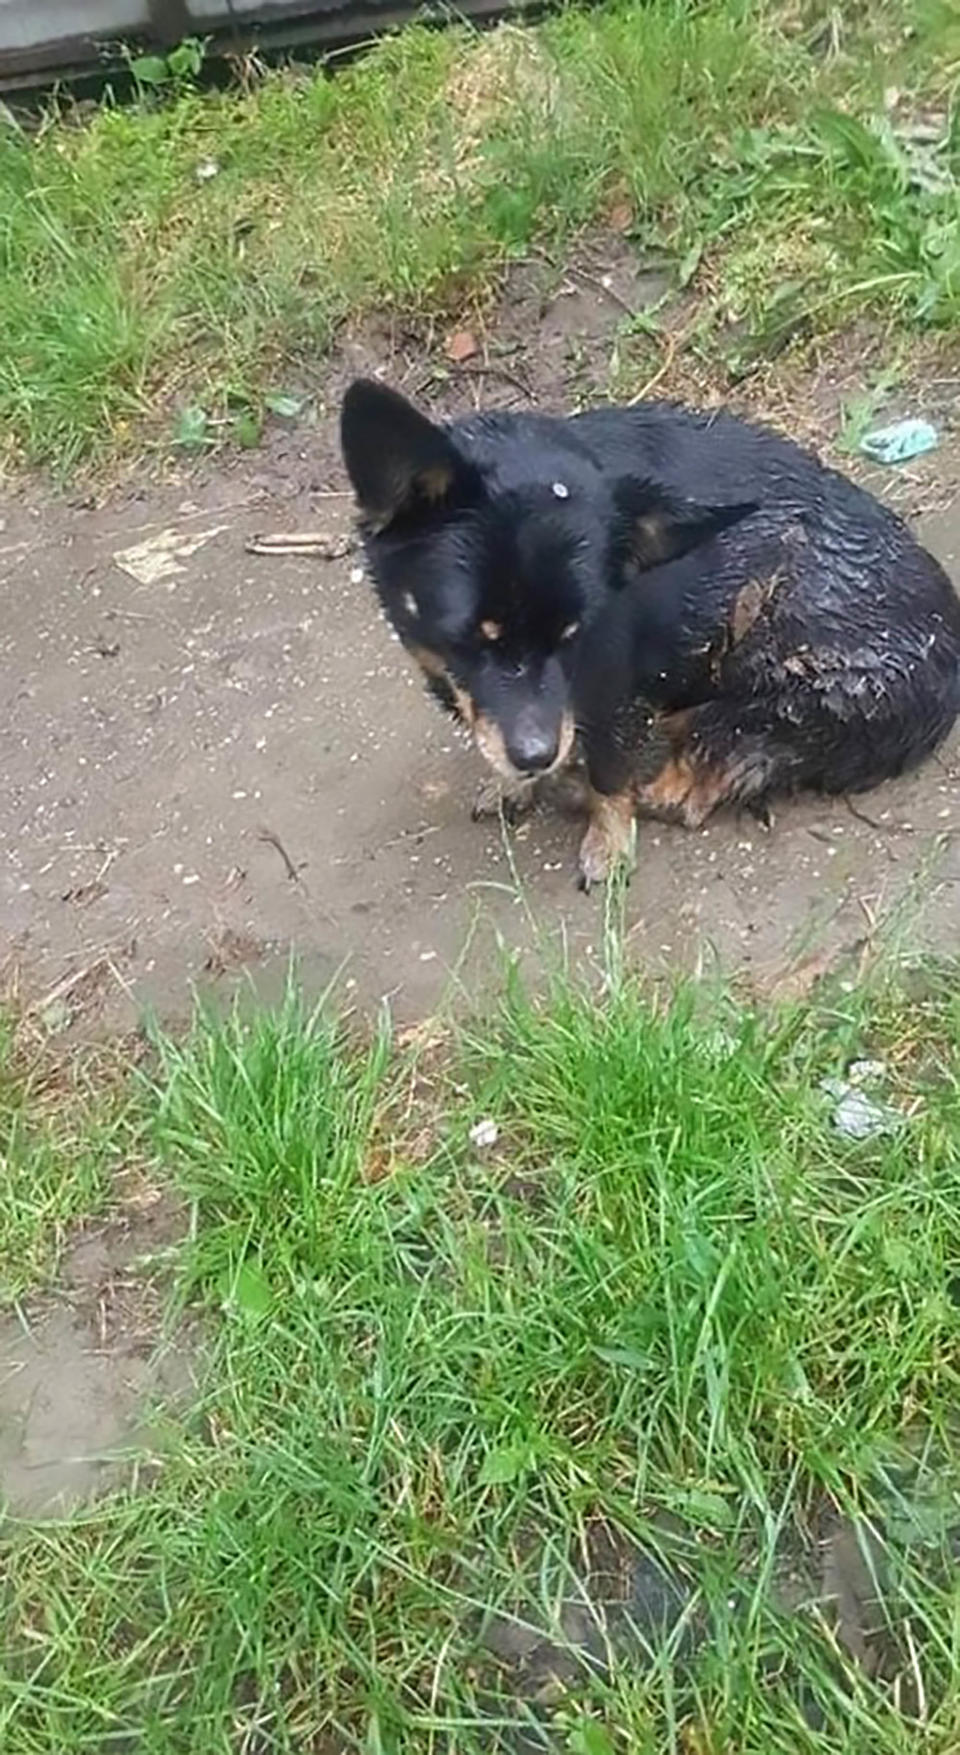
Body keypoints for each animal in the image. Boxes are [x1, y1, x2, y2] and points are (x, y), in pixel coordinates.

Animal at [340, 377, 960, 884]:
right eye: (470, 636)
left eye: (576, 634)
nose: (537, 758)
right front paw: (517, 781)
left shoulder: (607, 691)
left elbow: (610, 777)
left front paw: (608, 843)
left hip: (780, 702)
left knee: (693, 783)